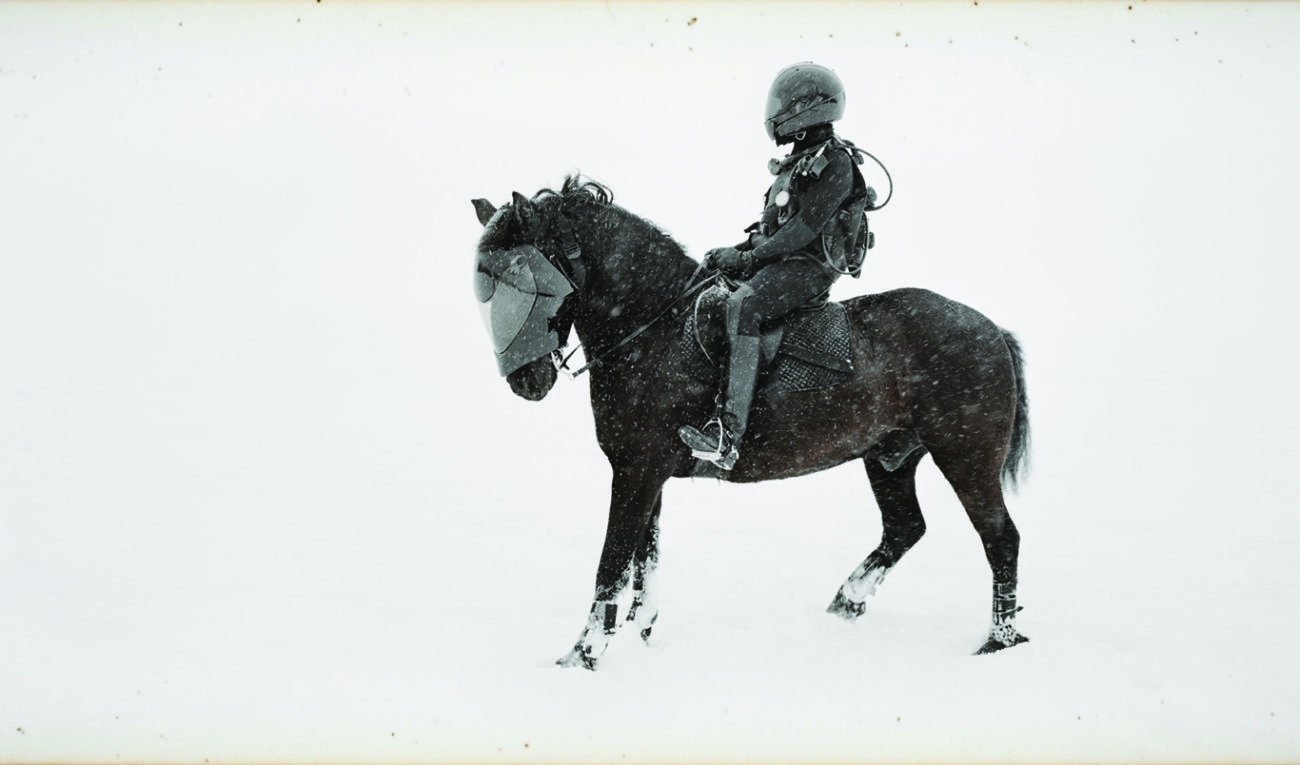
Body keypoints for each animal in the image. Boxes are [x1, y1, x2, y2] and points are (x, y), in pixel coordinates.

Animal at [473, 178, 1029, 671]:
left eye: (526, 279)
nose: (525, 379)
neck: (655, 328)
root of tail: (991, 331)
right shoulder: (645, 473)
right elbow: (644, 560)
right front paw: (642, 636)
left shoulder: (636, 472)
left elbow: (612, 564)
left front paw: (582, 656)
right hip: (889, 458)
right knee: (905, 528)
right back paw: (845, 603)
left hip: (966, 457)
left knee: (1000, 537)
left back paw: (999, 641)